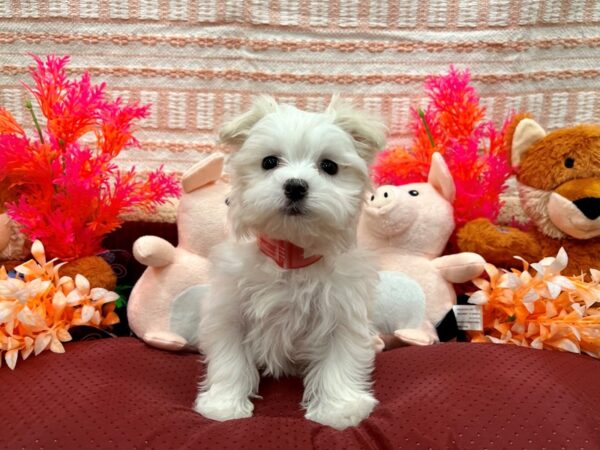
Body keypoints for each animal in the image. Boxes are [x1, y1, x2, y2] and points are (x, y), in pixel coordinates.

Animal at [195, 94, 386, 428]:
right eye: (269, 162)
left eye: (329, 166)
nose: (296, 185)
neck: (292, 256)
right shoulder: (230, 309)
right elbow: (230, 360)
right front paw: (224, 404)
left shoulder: (343, 311)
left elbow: (340, 360)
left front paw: (340, 409)